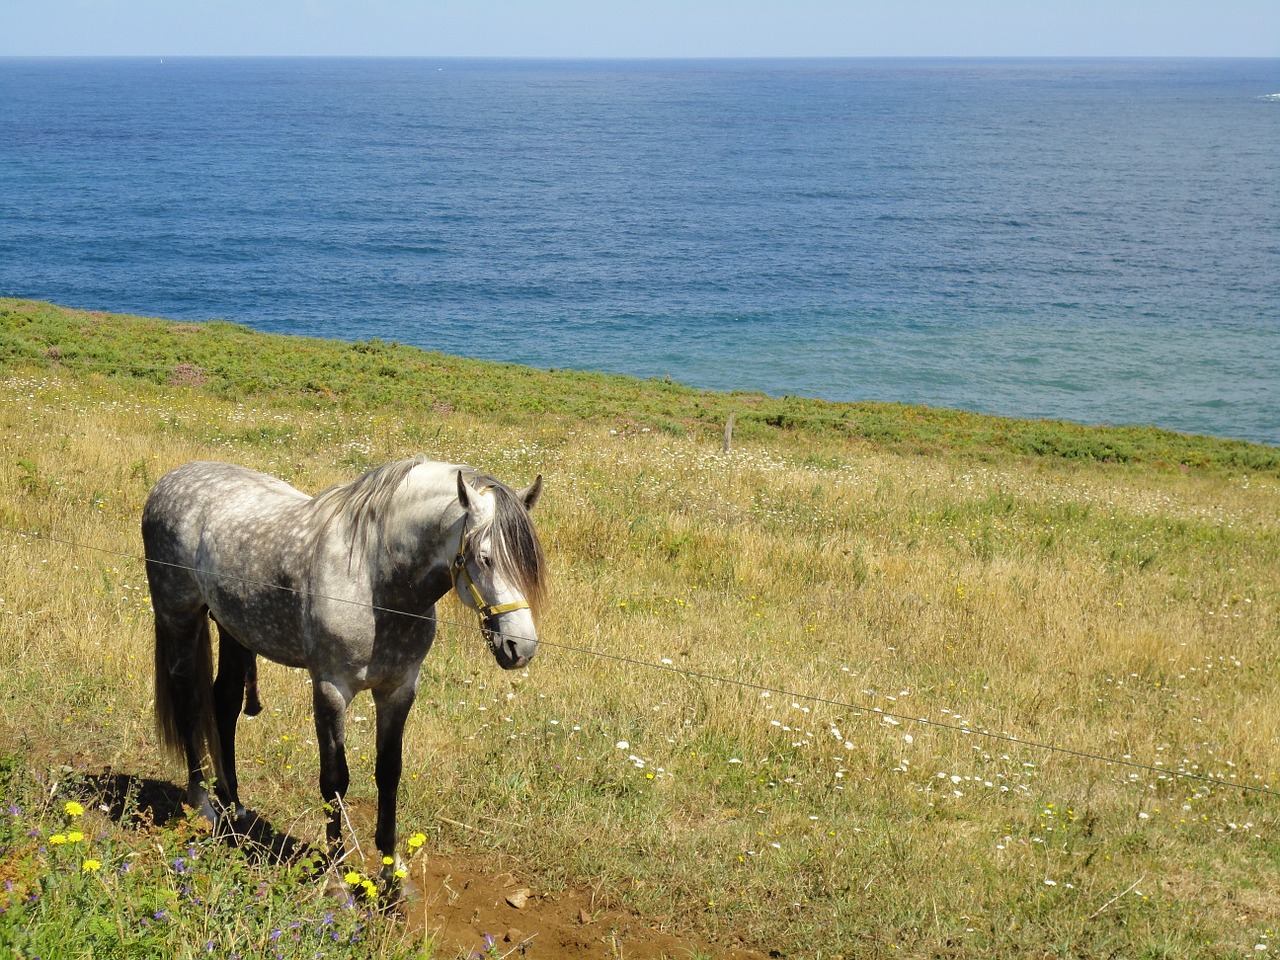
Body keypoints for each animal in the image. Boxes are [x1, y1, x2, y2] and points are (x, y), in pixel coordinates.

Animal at [144, 460, 545, 896]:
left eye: (529, 564)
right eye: (486, 558)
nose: (521, 648)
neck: (373, 580)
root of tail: (171, 479)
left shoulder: (398, 691)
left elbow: (389, 773)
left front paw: (391, 875)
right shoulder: (332, 690)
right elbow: (335, 780)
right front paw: (337, 879)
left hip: (233, 628)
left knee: (225, 704)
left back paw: (235, 809)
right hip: (179, 619)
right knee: (189, 702)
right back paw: (203, 807)